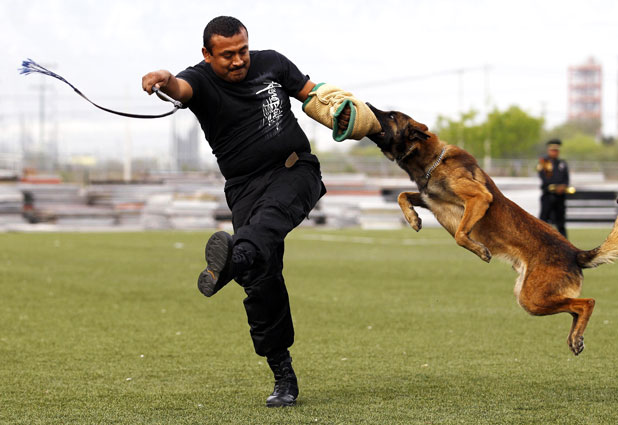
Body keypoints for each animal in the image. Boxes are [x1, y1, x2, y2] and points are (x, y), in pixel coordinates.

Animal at [367, 104, 618, 356]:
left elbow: (460, 234)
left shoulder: (479, 198)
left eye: (391, 115)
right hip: (530, 296)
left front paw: (480, 250)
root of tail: (575, 254)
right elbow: (402, 195)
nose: (368, 105)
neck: (431, 160)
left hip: (533, 297)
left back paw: (577, 335)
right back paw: (576, 338)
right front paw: (413, 219)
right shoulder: (430, 199)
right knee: (576, 308)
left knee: (587, 303)